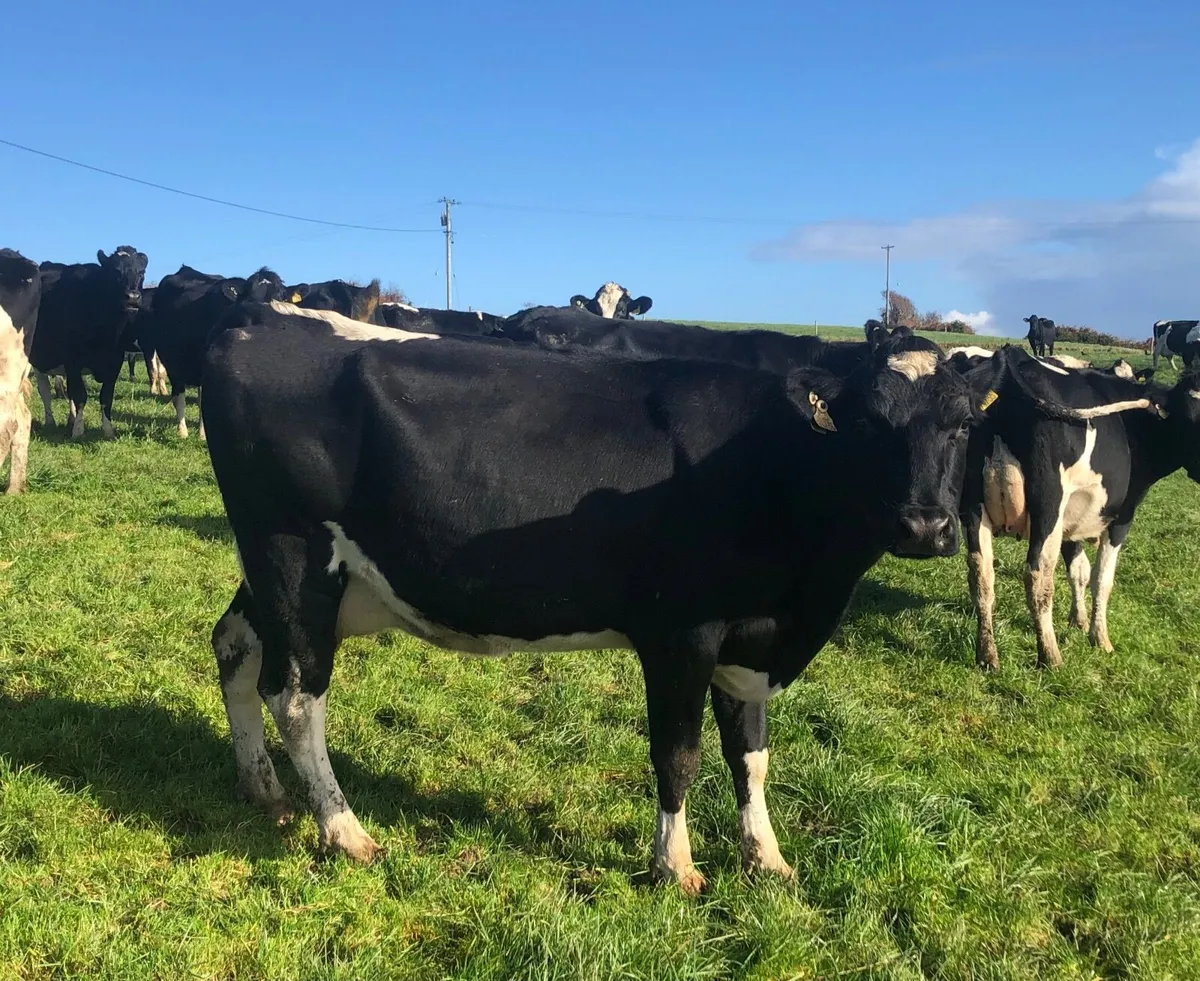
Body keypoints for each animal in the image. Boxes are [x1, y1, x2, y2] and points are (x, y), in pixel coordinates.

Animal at [30, 246, 148, 439]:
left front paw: (108, 430)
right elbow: (80, 396)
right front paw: (78, 431)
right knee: (45, 391)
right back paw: (50, 421)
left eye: (142, 272)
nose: (132, 297)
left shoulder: (114, 363)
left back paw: (70, 419)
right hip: (37, 359)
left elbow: (106, 397)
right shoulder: (73, 362)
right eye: (115, 271)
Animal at [200, 298, 1020, 893]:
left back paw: (261, 786)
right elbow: (680, 755)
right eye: (869, 423)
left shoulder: (748, 642)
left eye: (962, 423)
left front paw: (766, 857)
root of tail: (252, 322)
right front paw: (676, 866)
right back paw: (345, 832)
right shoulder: (682, 632)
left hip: (280, 571)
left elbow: (751, 755)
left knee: (233, 646)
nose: (925, 525)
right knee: (297, 697)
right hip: (293, 555)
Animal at [948, 345, 1200, 670]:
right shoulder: (1122, 517)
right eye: (1191, 418)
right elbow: (1101, 579)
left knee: (981, 575)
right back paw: (1051, 656)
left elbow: (1079, 571)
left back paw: (988, 656)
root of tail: (1010, 357)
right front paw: (1100, 638)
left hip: (974, 505)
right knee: (1037, 576)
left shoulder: (1070, 523)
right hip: (1048, 503)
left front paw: (1077, 621)